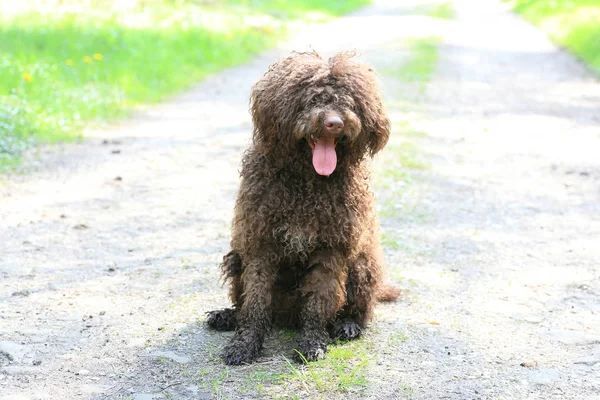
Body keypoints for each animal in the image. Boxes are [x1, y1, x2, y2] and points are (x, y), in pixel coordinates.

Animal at [206, 50, 398, 366]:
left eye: (349, 103)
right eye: (312, 99)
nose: (334, 123)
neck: (308, 182)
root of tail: (286, 317)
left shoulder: (331, 249)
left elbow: (318, 302)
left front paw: (312, 343)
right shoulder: (260, 243)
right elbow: (255, 301)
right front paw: (245, 344)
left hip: (362, 265)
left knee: (359, 309)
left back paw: (348, 324)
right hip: (236, 258)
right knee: (247, 302)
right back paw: (228, 316)